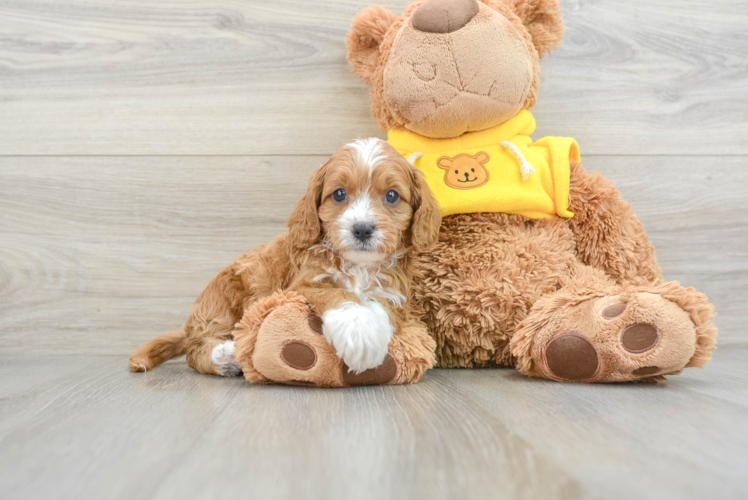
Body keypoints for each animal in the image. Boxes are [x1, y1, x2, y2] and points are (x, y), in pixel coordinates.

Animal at [131, 139, 442, 384]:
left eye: (392, 196)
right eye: (339, 194)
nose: (363, 229)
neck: (358, 266)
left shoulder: (394, 293)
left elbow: (380, 306)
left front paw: (369, 333)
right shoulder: (302, 284)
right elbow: (337, 293)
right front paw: (359, 332)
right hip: (224, 300)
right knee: (195, 350)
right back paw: (228, 355)